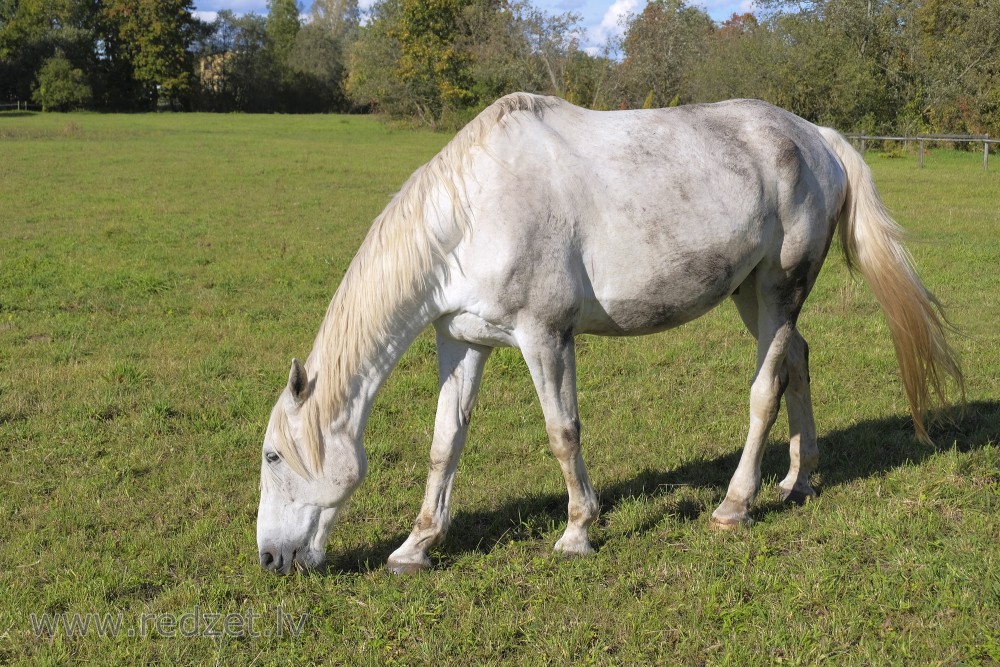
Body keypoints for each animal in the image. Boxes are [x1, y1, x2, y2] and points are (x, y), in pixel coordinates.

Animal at [256, 92, 960, 576]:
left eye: (271, 457)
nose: (270, 558)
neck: (473, 212)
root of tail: (817, 138)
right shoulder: (463, 341)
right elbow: (444, 444)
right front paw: (416, 546)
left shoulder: (545, 336)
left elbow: (562, 434)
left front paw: (577, 532)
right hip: (754, 296)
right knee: (797, 362)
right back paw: (800, 480)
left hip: (780, 290)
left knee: (766, 388)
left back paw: (735, 505)